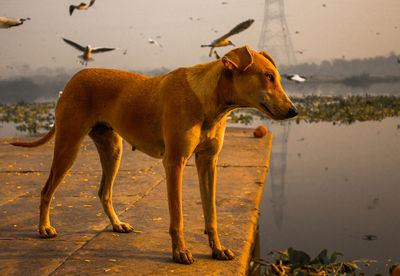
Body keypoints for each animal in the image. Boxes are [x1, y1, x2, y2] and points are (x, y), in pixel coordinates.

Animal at [10, 46, 296, 264]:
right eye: (268, 76)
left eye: (278, 77)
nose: (294, 111)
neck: (209, 100)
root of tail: (74, 77)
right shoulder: (175, 163)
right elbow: (177, 216)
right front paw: (180, 252)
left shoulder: (208, 162)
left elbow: (211, 212)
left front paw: (217, 248)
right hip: (69, 146)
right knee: (46, 190)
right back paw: (44, 228)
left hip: (112, 149)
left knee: (104, 192)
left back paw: (117, 224)